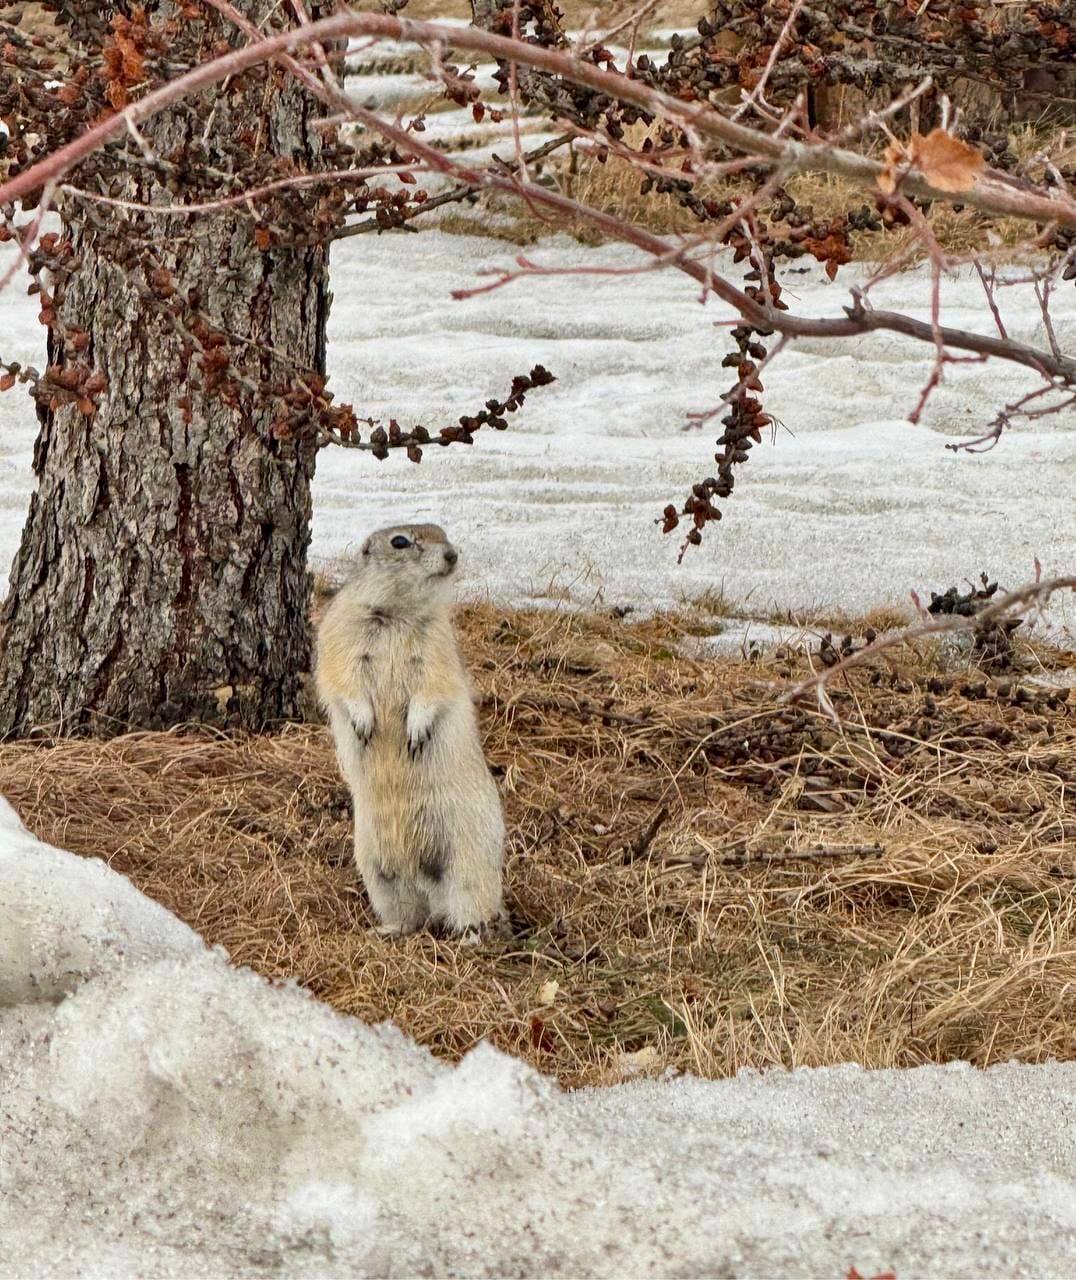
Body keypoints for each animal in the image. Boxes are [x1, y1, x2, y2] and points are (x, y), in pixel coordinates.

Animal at [314, 524, 509, 936]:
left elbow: (432, 687)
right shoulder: (340, 631)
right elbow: (342, 678)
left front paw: (415, 732)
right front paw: (364, 725)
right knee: (411, 916)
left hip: (470, 865)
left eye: (443, 532)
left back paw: (471, 936)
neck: (397, 613)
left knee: (469, 909)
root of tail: (426, 883)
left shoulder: (438, 645)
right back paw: (386, 930)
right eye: (400, 541)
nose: (452, 555)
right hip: (377, 872)